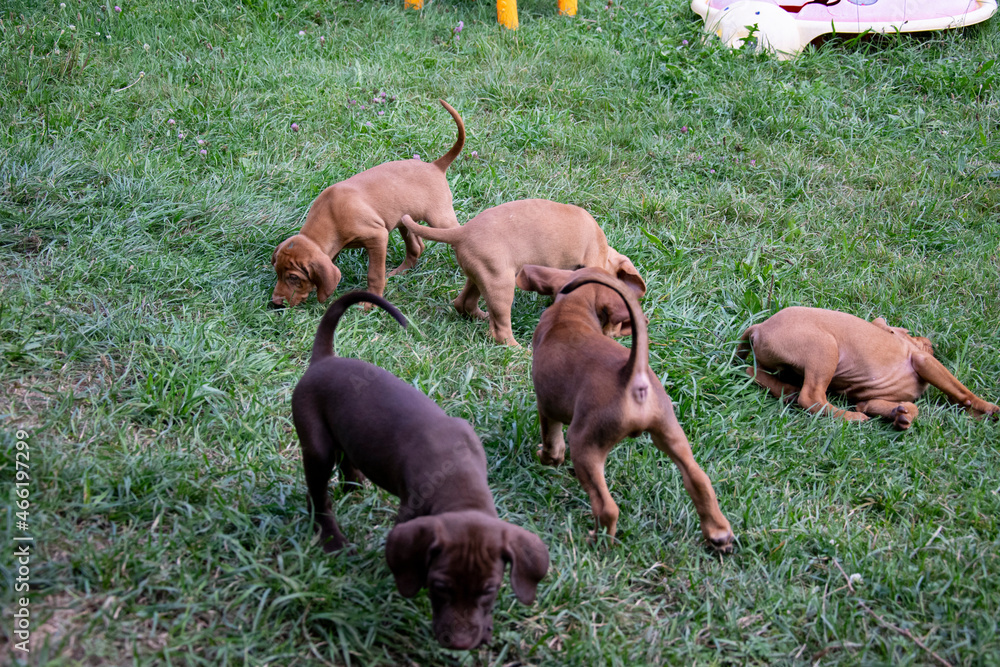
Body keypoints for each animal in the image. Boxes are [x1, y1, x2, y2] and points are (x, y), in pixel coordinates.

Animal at [270, 100, 464, 310]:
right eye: (277, 272)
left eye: (294, 277)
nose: (275, 302)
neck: (331, 214)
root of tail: (436, 166)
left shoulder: (378, 236)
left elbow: (375, 275)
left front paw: (369, 303)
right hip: (404, 219)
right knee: (416, 248)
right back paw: (398, 273)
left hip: (440, 219)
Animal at [292, 290, 552, 648]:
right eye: (439, 586)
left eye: (489, 590)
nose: (459, 643)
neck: (458, 479)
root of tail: (323, 360)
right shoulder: (410, 513)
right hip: (317, 446)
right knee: (318, 496)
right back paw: (332, 539)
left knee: (344, 461)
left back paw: (354, 487)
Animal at [400, 197, 648, 344]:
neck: (604, 252)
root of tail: (461, 232)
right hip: (501, 283)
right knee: (500, 331)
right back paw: (519, 350)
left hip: (481, 276)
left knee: (464, 303)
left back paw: (482, 316)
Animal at [516, 266, 736, 552]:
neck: (572, 309)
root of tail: (632, 374)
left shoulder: (547, 406)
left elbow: (553, 446)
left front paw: (545, 458)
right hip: (670, 432)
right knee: (699, 480)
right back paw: (719, 533)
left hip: (585, 443)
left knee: (607, 508)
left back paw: (595, 542)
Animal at [736, 306, 1000, 430]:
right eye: (910, 332)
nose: (930, 342)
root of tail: (759, 327)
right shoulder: (924, 361)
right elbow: (962, 391)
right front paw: (986, 409)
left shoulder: (868, 398)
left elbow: (902, 406)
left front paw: (902, 415)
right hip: (825, 349)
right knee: (811, 397)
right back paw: (851, 418)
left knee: (752, 372)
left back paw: (788, 391)